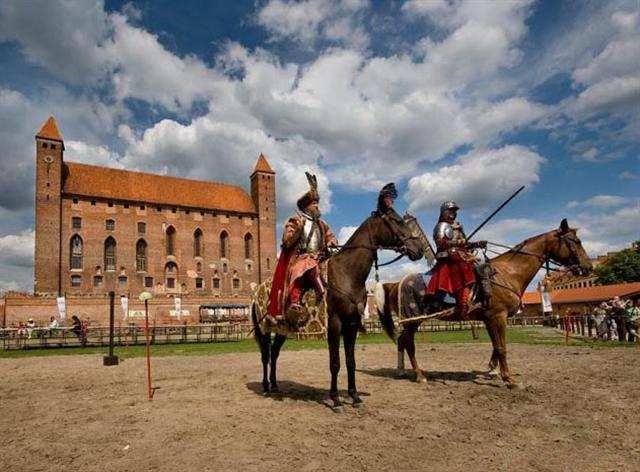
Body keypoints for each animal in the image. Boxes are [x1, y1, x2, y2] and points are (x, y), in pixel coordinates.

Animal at [252, 209, 428, 410]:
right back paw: (266, 386)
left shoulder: (351, 325)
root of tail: (256, 292)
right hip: (264, 328)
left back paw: (274, 385)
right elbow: (335, 363)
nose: (419, 248)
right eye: (397, 220)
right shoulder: (335, 324)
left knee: (274, 353)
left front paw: (355, 396)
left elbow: (350, 362)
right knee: (265, 355)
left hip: (282, 329)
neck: (347, 274)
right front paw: (335, 399)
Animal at [378, 218, 592, 388]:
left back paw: (402, 370)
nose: (588, 267)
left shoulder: (489, 318)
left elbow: (496, 346)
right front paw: (508, 379)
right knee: (408, 343)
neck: (508, 273)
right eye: (576, 241)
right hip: (413, 319)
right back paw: (419, 374)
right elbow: (502, 347)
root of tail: (397, 283)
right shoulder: (499, 316)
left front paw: (493, 371)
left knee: (401, 341)